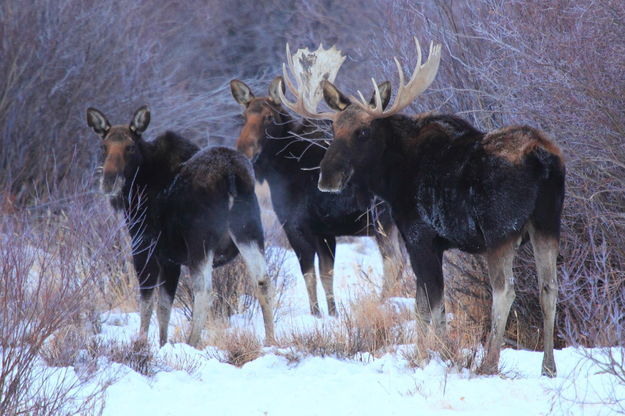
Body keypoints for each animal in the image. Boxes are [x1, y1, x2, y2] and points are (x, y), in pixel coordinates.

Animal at [86, 105, 274, 348]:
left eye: (130, 147)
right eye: (103, 146)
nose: (109, 180)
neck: (137, 188)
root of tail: (231, 174)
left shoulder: (144, 247)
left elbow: (147, 303)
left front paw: (142, 343)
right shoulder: (170, 260)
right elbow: (164, 307)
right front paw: (162, 344)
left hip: (200, 241)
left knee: (204, 290)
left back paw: (192, 341)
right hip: (249, 231)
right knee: (262, 280)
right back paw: (271, 339)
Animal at [232, 75, 402, 316]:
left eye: (269, 118)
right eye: (243, 117)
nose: (244, 151)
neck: (280, 169)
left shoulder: (296, 226)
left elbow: (309, 275)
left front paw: (316, 314)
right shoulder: (324, 232)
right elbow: (326, 274)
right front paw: (333, 313)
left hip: (382, 219)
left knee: (394, 262)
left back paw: (384, 302)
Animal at [280, 39, 564, 376]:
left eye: (363, 131)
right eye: (333, 128)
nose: (327, 177)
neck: (392, 179)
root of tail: (540, 157)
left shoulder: (420, 237)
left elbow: (431, 306)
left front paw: (437, 357)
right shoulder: (433, 243)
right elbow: (422, 305)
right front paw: (429, 354)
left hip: (500, 231)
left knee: (504, 290)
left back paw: (489, 364)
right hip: (548, 223)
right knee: (549, 288)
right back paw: (549, 367)